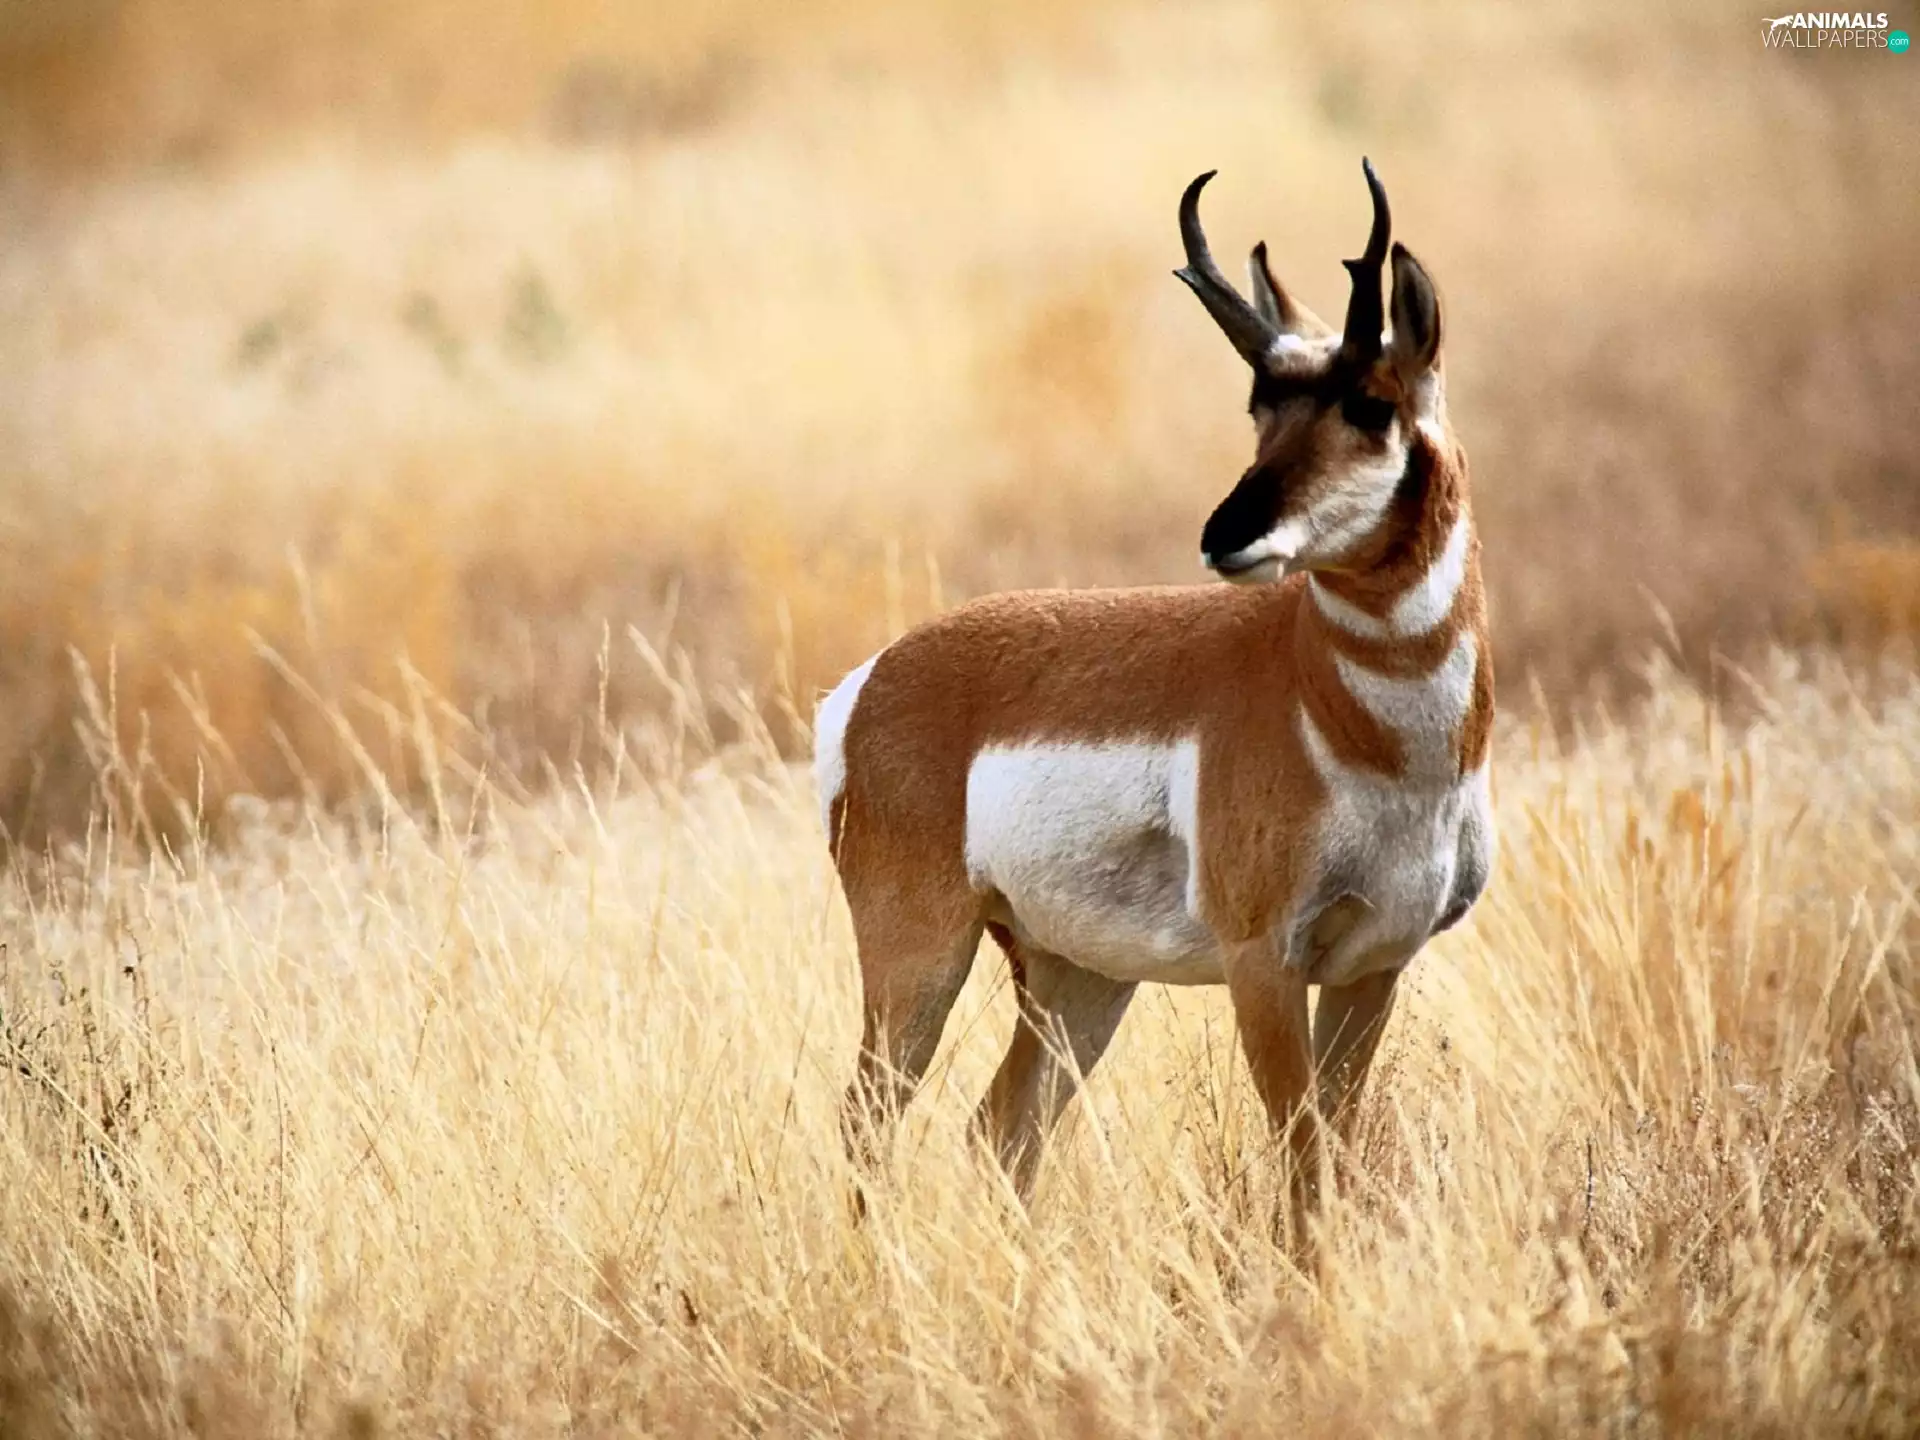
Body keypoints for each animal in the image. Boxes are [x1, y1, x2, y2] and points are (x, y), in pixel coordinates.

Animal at [815, 160, 1494, 1211]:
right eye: (1260, 406)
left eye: (1372, 405)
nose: (1226, 534)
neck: (1353, 723)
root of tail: (874, 680)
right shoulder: (1264, 965)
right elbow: (1300, 1160)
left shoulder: (1373, 965)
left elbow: (1335, 1156)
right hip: (922, 957)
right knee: (866, 1126)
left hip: (1077, 976)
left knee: (1001, 1129)